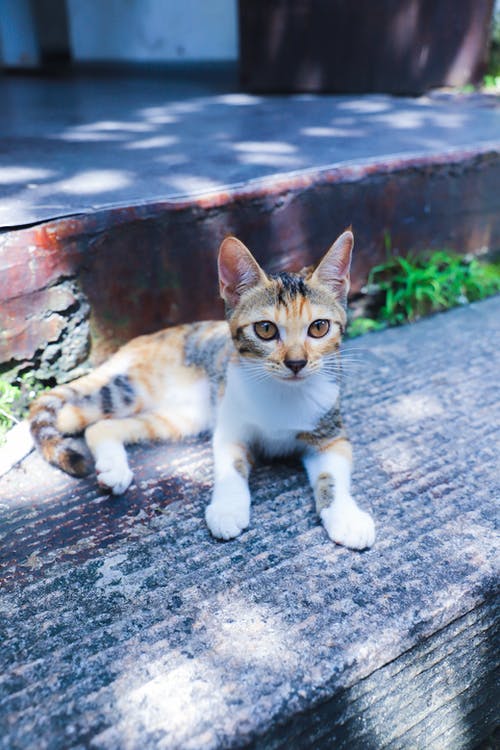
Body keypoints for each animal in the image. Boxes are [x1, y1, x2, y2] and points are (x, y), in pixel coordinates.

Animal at [29, 234, 376, 552]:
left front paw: (346, 516)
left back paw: (114, 468)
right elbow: (230, 467)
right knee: (72, 413)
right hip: (131, 390)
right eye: (265, 329)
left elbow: (334, 477)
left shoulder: (331, 434)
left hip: (180, 417)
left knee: (104, 426)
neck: (283, 394)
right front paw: (228, 508)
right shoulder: (230, 427)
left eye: (319, 327)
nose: (296, 363)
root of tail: (143, 339)